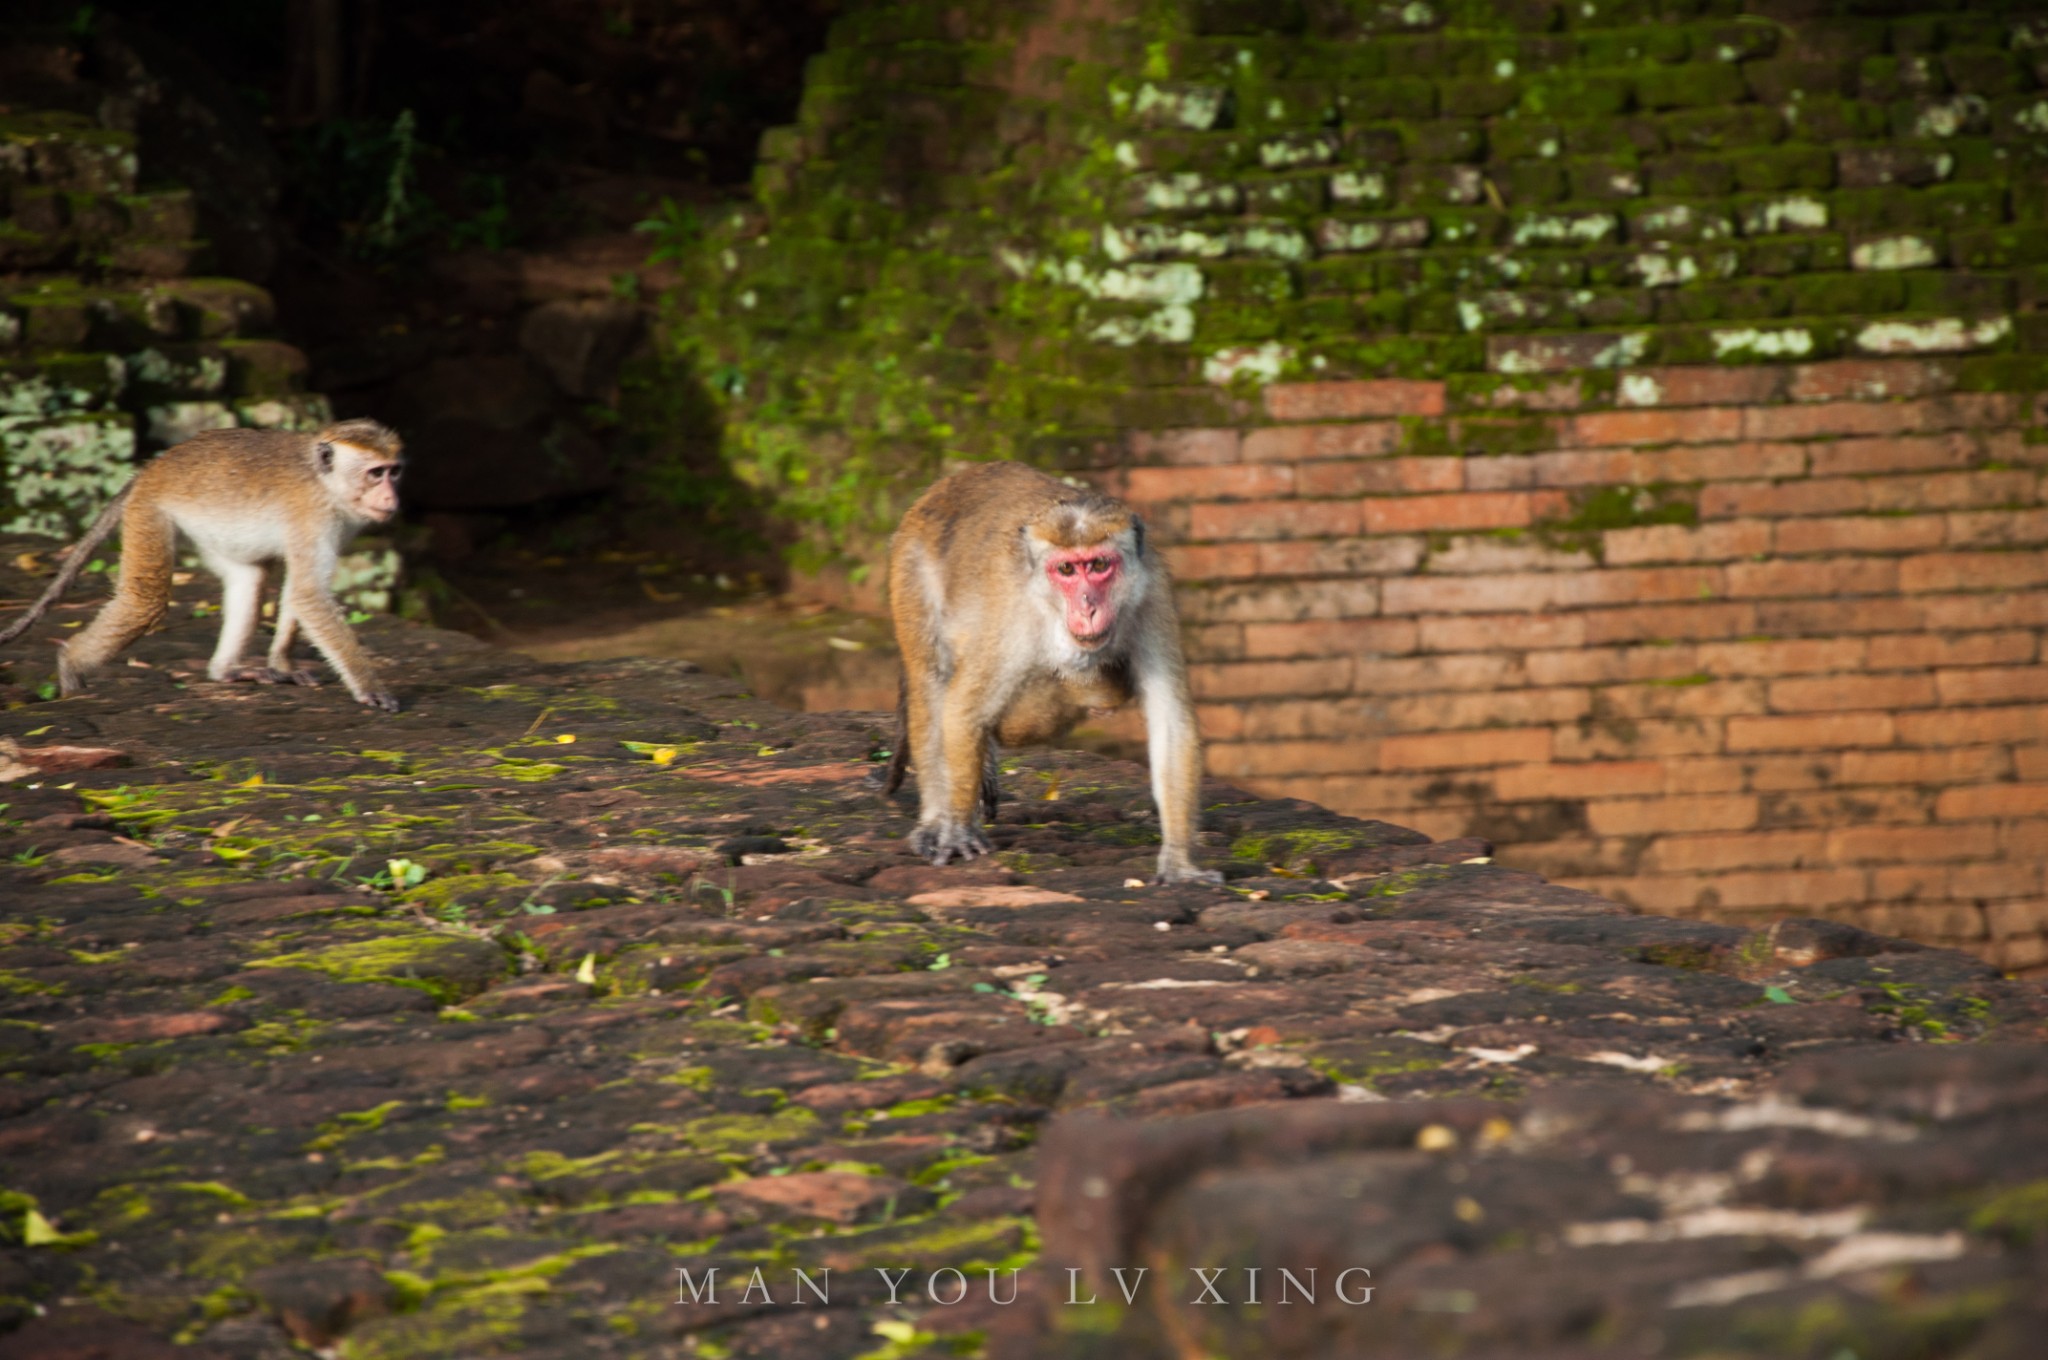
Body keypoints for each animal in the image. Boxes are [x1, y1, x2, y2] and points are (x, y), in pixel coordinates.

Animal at [876, 462, 1212, 888]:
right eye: (1066, 569)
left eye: (1099, 565)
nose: (1087, 608)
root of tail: (946, 484)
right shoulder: (1012, 614)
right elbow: (965, 709)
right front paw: (955, 831)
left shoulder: (1153, 596)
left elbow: (1170, 718)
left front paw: (1180, 862)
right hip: (910, 566)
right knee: (932, 677)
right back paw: (938, 820)